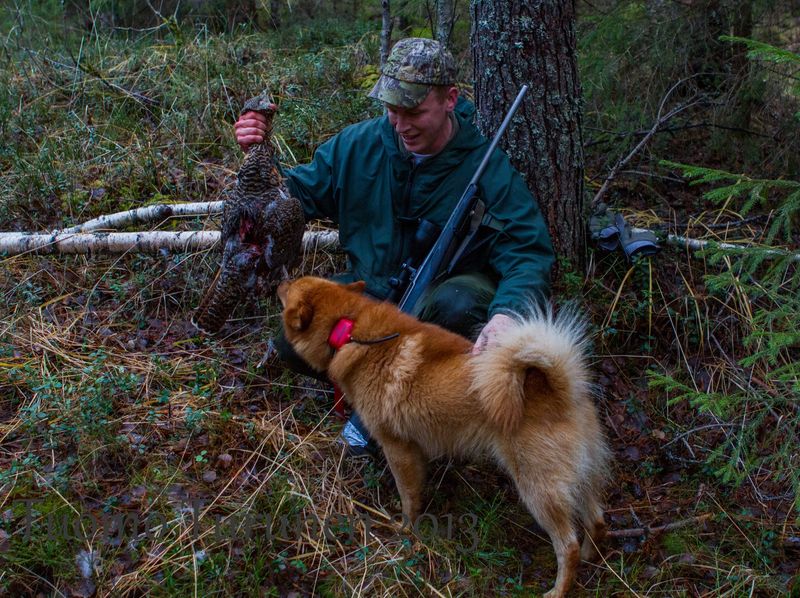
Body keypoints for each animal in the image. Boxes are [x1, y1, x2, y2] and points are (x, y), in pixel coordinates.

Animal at [278, 278, 608, 596]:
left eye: (290, 287)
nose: (279, 283)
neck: (350, 326)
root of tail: (559, 390)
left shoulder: (397, 449)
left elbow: (408, 497)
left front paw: (406, 530)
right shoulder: (415, 449)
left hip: (538, 489)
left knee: (568, 545)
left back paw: (559, 588)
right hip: (582, 476)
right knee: (596, 519)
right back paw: (591, 556)